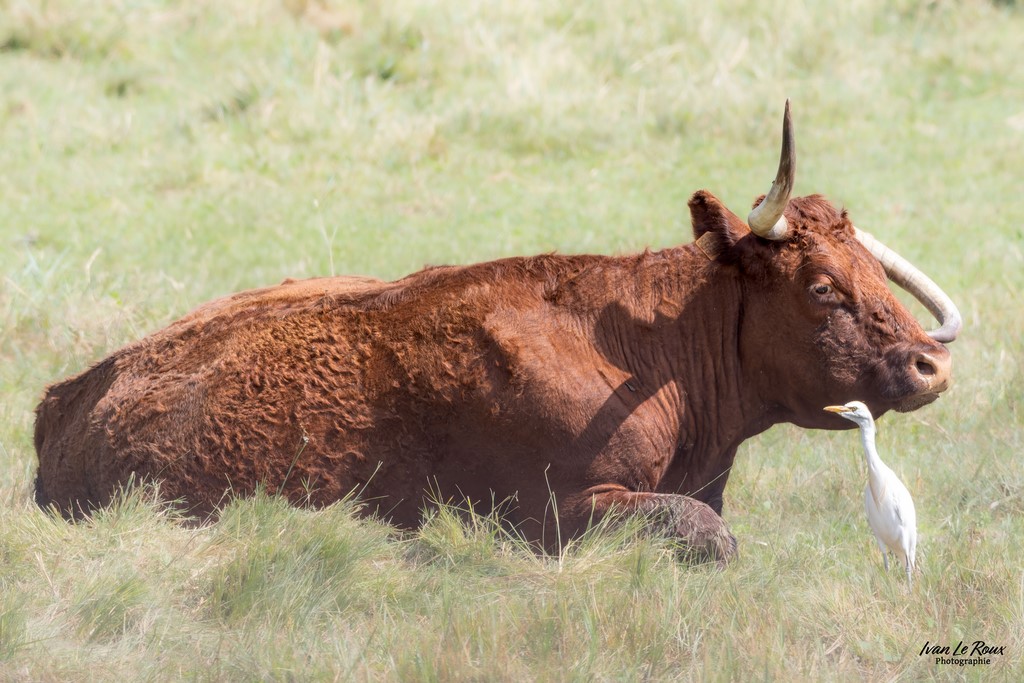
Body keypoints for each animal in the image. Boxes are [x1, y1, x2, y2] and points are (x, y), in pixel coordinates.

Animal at [33, 102, 961, 564]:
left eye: (872, 273)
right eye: (821, 286)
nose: (928, 364)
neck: (645, 349)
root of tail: (73, 394)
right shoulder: (555, 509)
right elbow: (708, 533)